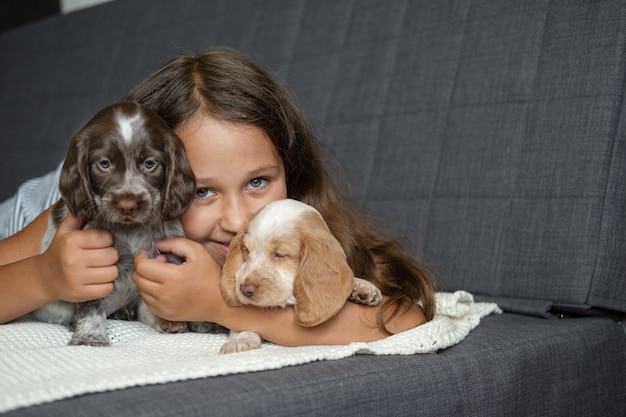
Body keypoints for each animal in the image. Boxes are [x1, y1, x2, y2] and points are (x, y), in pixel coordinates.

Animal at [27, 101, 195, 344]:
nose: (127, 204)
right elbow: (90, 306)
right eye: (104, 164)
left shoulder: (166, 254)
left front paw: (169, 318)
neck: (130, 229)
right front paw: (90, 336)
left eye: (150, 164)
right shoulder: (89, 266)